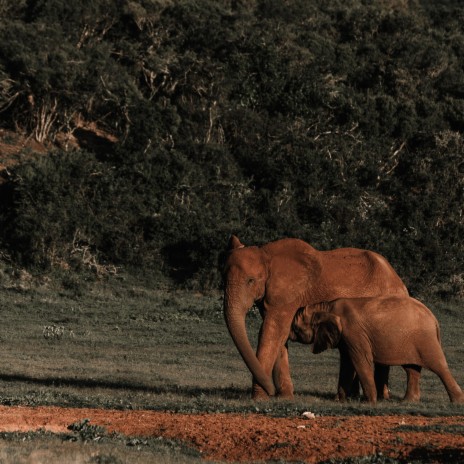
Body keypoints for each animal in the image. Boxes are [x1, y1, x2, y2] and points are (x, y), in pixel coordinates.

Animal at [223, 236, 408, 398]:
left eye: (251, 281)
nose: (271, 391)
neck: (266, 253)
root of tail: (399, 281)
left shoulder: (287, 295)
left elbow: (272, 331)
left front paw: (260, 398)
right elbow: (279, 335)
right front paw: (285, 397)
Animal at [290, 298, 464, 402]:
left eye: (296, 328)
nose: (289, 336)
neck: (325, 306)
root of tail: (434, 319)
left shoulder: (353, 331)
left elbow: (360, 361)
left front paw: (370, 402)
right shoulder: (346, 337)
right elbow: (347, 364)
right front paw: (338, 400)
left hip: (425, 340)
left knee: (439, 366)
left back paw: (457, 401)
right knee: (411, 369)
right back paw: (408, 401)